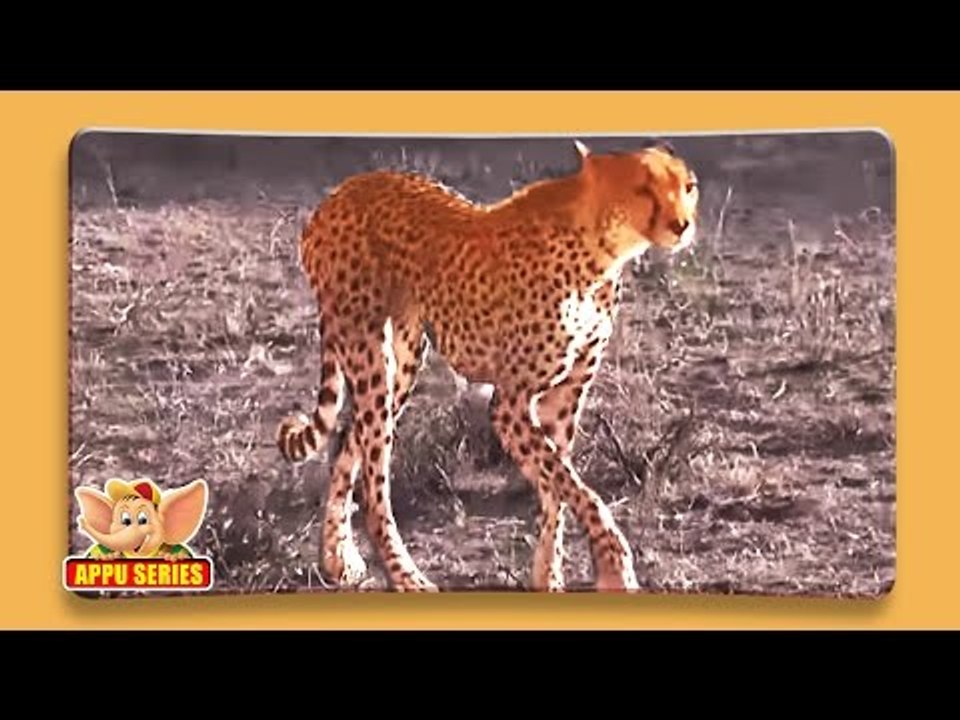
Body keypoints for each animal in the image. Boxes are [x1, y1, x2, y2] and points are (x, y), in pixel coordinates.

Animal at [276, 139, 700, 592]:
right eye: (643, 188)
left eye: (688, 187)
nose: (682, 225)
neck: (600, 249)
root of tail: (342, 191)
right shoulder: (510, 403)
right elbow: (576, 487)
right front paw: (614, 566)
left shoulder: (566, 393)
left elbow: (557, 487)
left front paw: (548, 577)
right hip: (367, 350)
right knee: (375, 486)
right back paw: (407, 578)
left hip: (403, 358)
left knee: (346, 443)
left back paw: (337, 559)